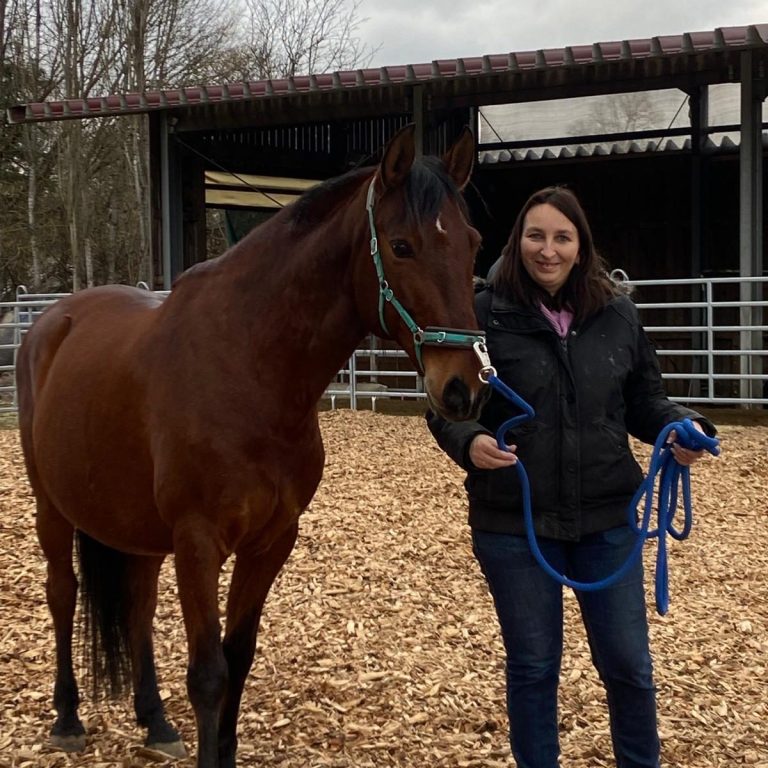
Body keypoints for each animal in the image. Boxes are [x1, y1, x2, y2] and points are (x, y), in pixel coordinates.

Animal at [15, 124, 489, 768]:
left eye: (473, 243)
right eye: (401, 246)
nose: (464, 388)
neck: (248, 365)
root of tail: (52, 321)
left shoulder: (271, 541)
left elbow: (238, 659)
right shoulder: (198, 543)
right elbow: (209, 673)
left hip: (135, 526)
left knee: (138, 605)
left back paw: (155, 721)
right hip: (52, 506)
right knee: (62, 594)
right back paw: (66, 719)